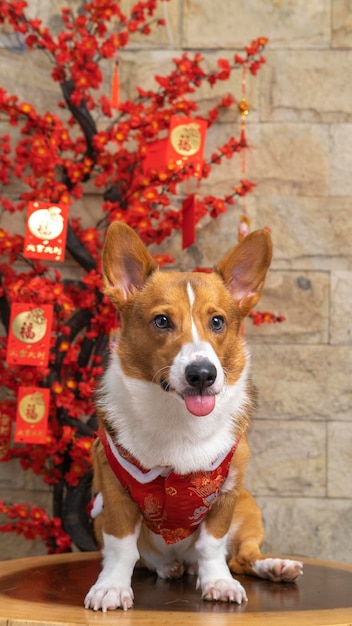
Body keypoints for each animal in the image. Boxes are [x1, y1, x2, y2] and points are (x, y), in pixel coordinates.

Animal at [84, 223, 302, 608]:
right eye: (161, 321)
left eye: (217, 321)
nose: (202, 374)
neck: (177, 417)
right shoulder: (113, 490)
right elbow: (122, 548)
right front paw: (111, 587)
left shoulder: (227, 492)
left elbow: (212, 545)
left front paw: (219, 583)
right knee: (149, 558)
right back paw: (167, 567)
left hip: (249, 507)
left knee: (244, 556)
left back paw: (275, 566)